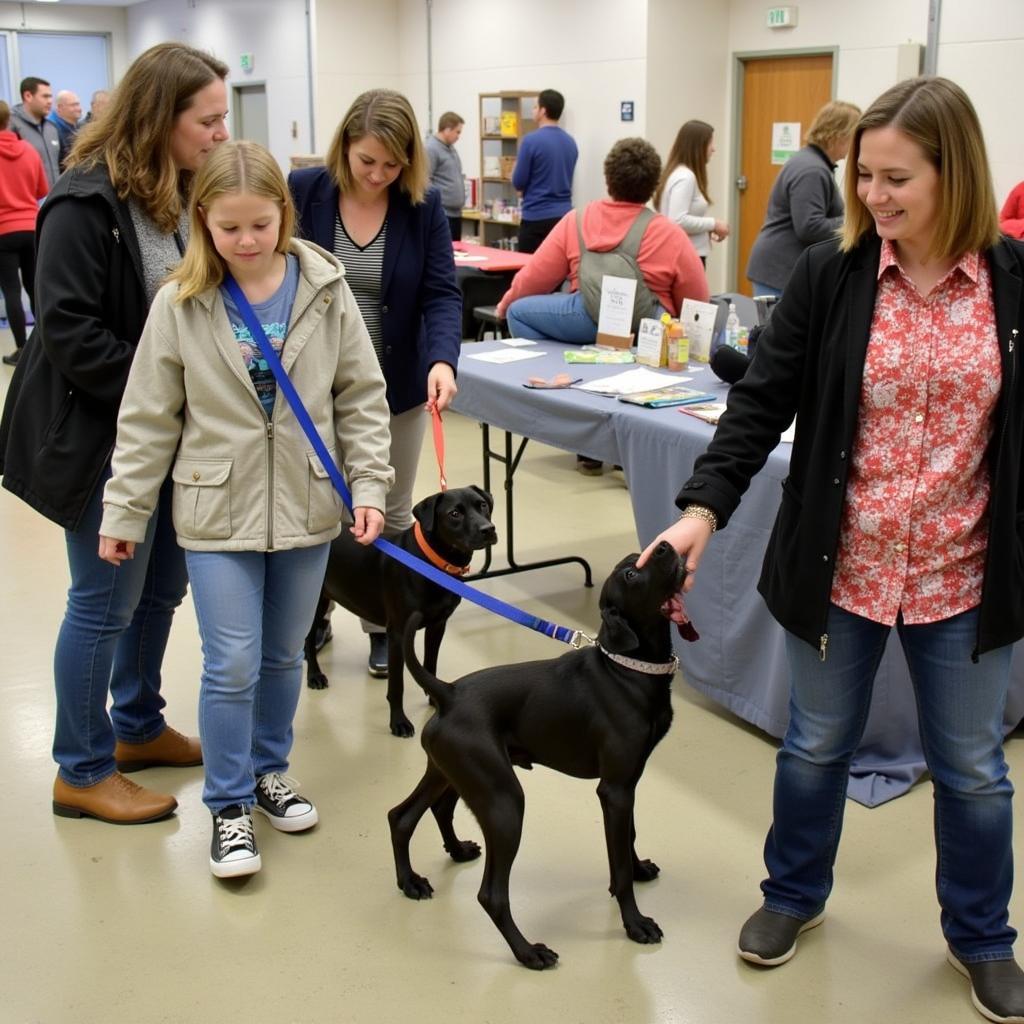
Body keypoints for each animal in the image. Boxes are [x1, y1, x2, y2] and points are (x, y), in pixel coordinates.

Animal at [303, 485, 495, 737]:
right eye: (454, 513)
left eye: (482, 505)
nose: (488, 529)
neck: (430, 564)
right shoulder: (398, 634)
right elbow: (397, 685)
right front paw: (399, 722)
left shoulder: (437, 626)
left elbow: (430, 666)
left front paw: (436, 699)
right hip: (313, 603)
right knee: (306, 638)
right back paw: (314, 676)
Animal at [385, 544, 696, 966]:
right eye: (631, 574)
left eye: (639, 555)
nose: (665, 545)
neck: (627, 669)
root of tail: (448, 692)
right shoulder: (614, 790)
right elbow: (618, 870)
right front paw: (635, 924)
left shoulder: (628, 784)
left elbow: (629, 836)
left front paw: (639, 868)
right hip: (504, 801)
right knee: (491, 895)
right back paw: (528, 952)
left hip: (450, 772)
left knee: (406, 816)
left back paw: (415, 878)